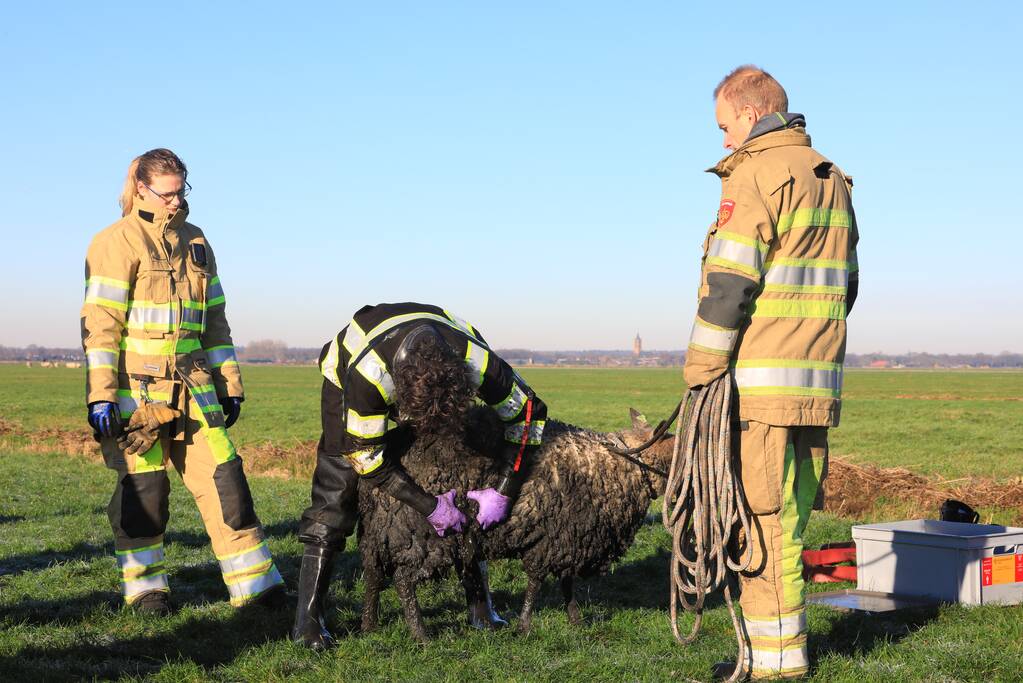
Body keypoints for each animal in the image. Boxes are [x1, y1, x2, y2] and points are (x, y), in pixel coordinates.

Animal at [356, 404, 675, 642]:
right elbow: (536, 581)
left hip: (380, 529)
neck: (616, 467)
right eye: (672, 455)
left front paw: (575, 621)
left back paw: (370, 625)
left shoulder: (569, 537)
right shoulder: (552, 539)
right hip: (424, 531)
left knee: (373, 574)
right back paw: (420, 634)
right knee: (403, 579)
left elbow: (566, 582)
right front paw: (525, 626)